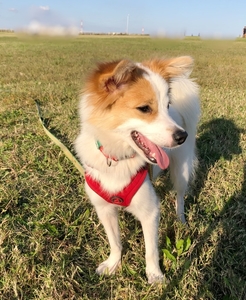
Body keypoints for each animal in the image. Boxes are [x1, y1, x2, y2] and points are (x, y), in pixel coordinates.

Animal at [75, 56, 200, 284]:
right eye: (144, 109)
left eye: (166, 105)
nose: (182, 136)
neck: (118, 159)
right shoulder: (104, 210)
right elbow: (115, 242)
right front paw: (113, 264)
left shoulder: (149, 212)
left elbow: (151, 250)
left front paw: (155, 275)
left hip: (181, 170)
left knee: (180, 195)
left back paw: (181, 219)